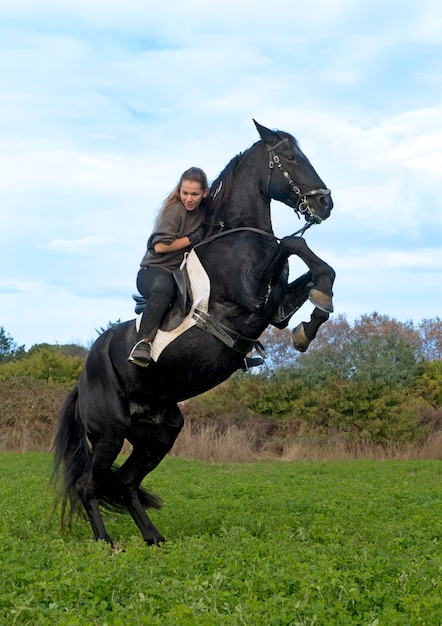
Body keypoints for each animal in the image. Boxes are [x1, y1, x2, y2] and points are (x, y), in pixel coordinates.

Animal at [51, 119, 334, 544]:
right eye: (289, 157)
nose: (325, 204)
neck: (238, 236)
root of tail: (82, 380)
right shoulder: (251, 295)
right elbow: (292, 243)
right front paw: (318, 309)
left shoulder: (277, 309)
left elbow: (316, 271)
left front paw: (311, 324)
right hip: (110, 432)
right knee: (91, 486)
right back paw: (109, 544)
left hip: (159, 434)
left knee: (126, 484)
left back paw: (154, 539)